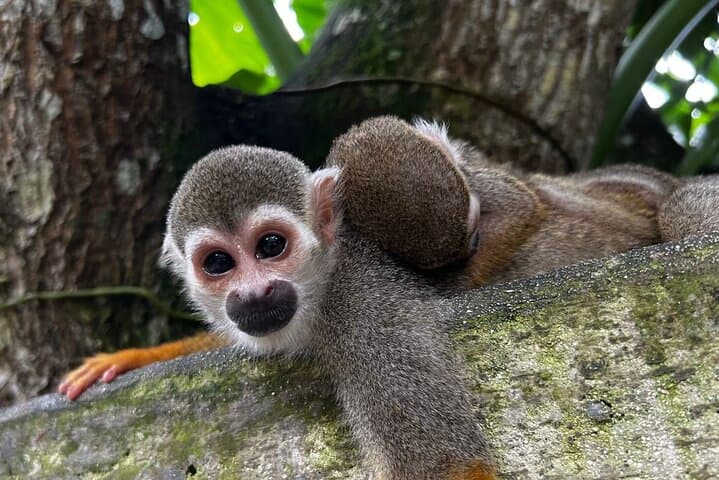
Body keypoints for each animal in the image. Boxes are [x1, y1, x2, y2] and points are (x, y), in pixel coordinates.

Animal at [82, 145, 497, 479]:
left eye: (271, 245)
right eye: (218, 263)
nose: (254, 293)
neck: (323, 284)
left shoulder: (367, 310)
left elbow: (446, 465)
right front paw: (132, 357)